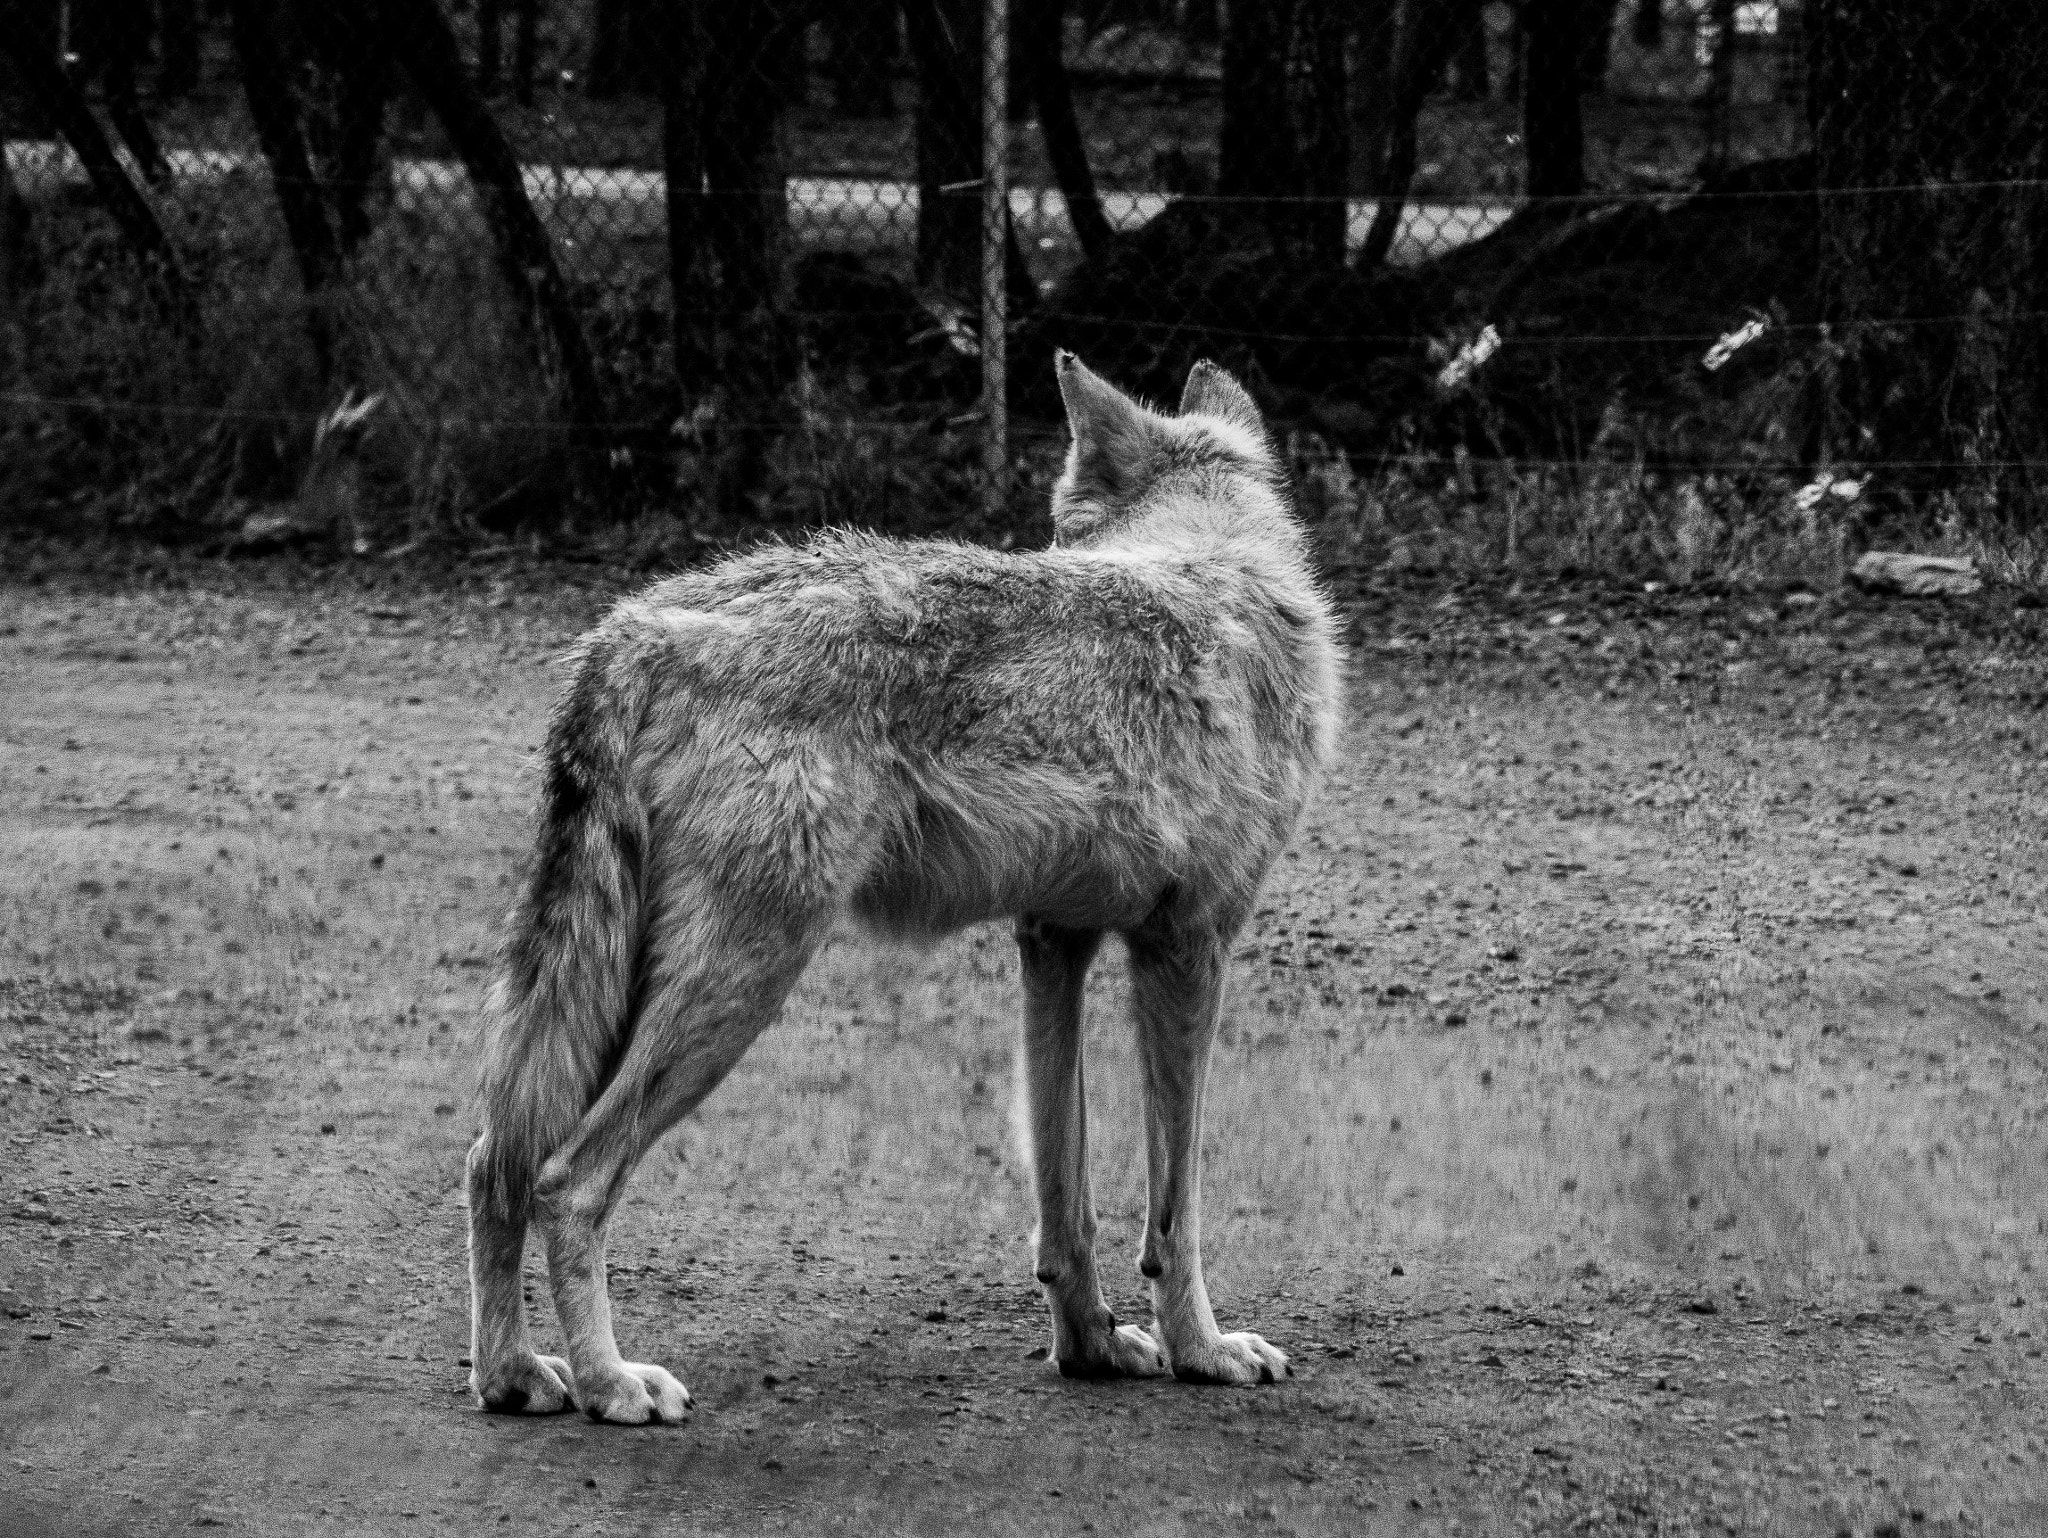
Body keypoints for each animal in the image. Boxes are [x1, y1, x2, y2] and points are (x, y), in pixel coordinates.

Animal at [464, 353, 1340, 1422]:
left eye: (1056, 536)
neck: (1219, 569)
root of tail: (631, 633)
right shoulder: (1188, 952)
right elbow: (1178, 1213)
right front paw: (1204, 1351)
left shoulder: (1053, 945)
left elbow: (1066, 1197)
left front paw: (1091, 1346)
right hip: (740, 983)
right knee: (566, 1179)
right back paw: (611, 1383)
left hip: (618, 991)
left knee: (493, 1165)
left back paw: (512, 1373)